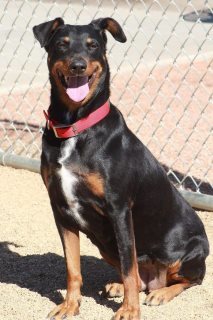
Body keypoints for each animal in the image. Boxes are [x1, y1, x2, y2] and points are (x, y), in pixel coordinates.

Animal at [32, 18, 209, 320]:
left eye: (93, 45)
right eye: (62, 44)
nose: (78, 65)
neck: (75, 126)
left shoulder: (119, 210)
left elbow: (128, 267)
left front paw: (128, 311)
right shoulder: (61, 209)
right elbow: (72, 267)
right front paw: (70, 305)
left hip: (190, 249)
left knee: (188, 279)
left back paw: (161, 293)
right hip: (104, 243)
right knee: (139, 278)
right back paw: (121, 286)